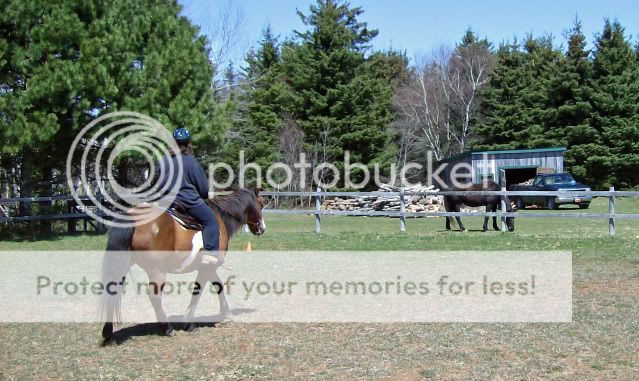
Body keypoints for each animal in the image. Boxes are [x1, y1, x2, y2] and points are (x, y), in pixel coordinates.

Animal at [100, 187, 264, 344]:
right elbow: (200, 290)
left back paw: (108, 334)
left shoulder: (208, 267)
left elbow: (218, 285)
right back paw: (167, 329)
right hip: (157, 271)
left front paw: (227, 314)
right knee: (155, 296)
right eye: (261, 204)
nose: (262, 228)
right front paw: (189, 322)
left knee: (113, 290)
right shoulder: (208, 267)